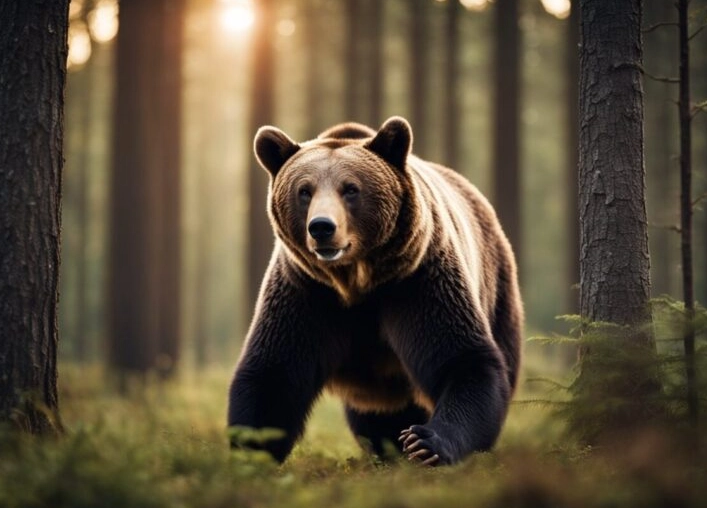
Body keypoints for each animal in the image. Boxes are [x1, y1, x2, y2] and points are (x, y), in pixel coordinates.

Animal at [227, 116, 523, 466]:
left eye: (350, 189)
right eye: (304, 191)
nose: (322, 227)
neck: (356, 282)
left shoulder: (418, 282)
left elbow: (464, 360)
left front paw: (425, 443)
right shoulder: (305, 292)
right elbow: (274, 374)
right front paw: (250, 451)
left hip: (498, 288)